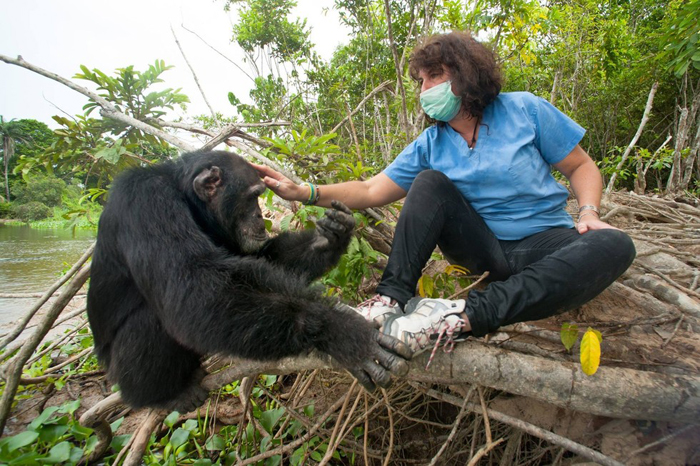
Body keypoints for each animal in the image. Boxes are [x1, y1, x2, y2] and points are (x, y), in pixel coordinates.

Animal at [85, 150, 412, 412]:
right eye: (253, 194)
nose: (258, 215)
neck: (186, 198)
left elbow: (262, 261)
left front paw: (330, 238)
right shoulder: (146, 202)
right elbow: (198, 288)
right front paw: (343, 333)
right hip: (121, 375)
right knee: (148, 320)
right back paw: (165, 396)